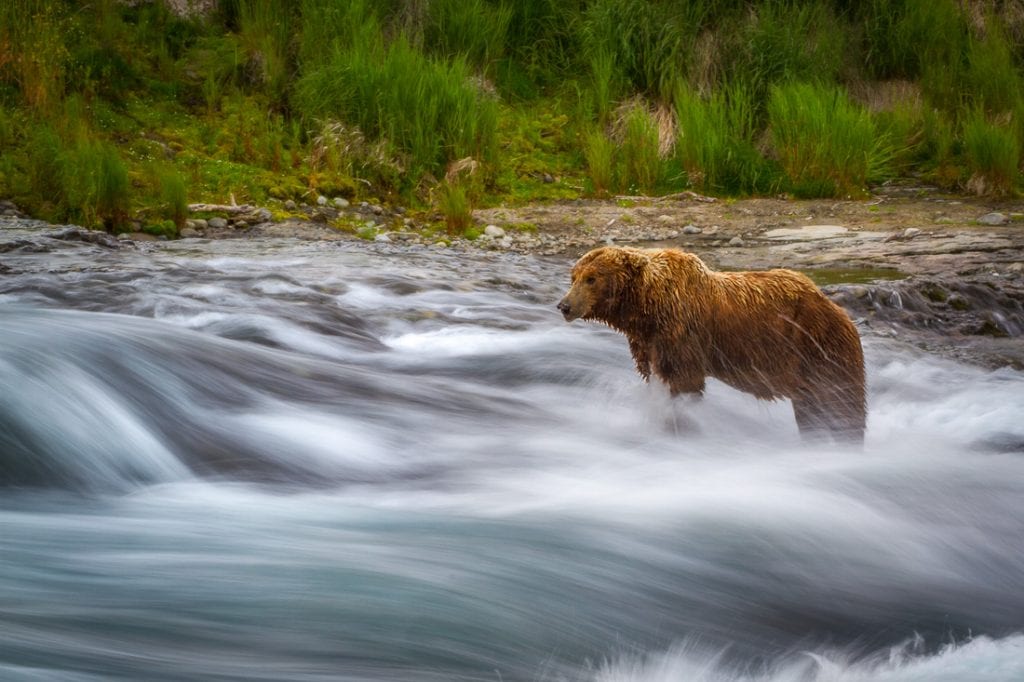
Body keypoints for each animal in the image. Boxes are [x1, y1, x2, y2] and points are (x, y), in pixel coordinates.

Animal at [561, 244, 864, 440]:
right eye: (573, 277)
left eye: (592, 278)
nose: (564, 305)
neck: (647, 309)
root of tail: (840, 311)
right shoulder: (648, 345)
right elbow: (659, 381)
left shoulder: (681, 335)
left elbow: (685, 383)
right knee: (813, 409)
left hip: (821, 350)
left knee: (844, 404)